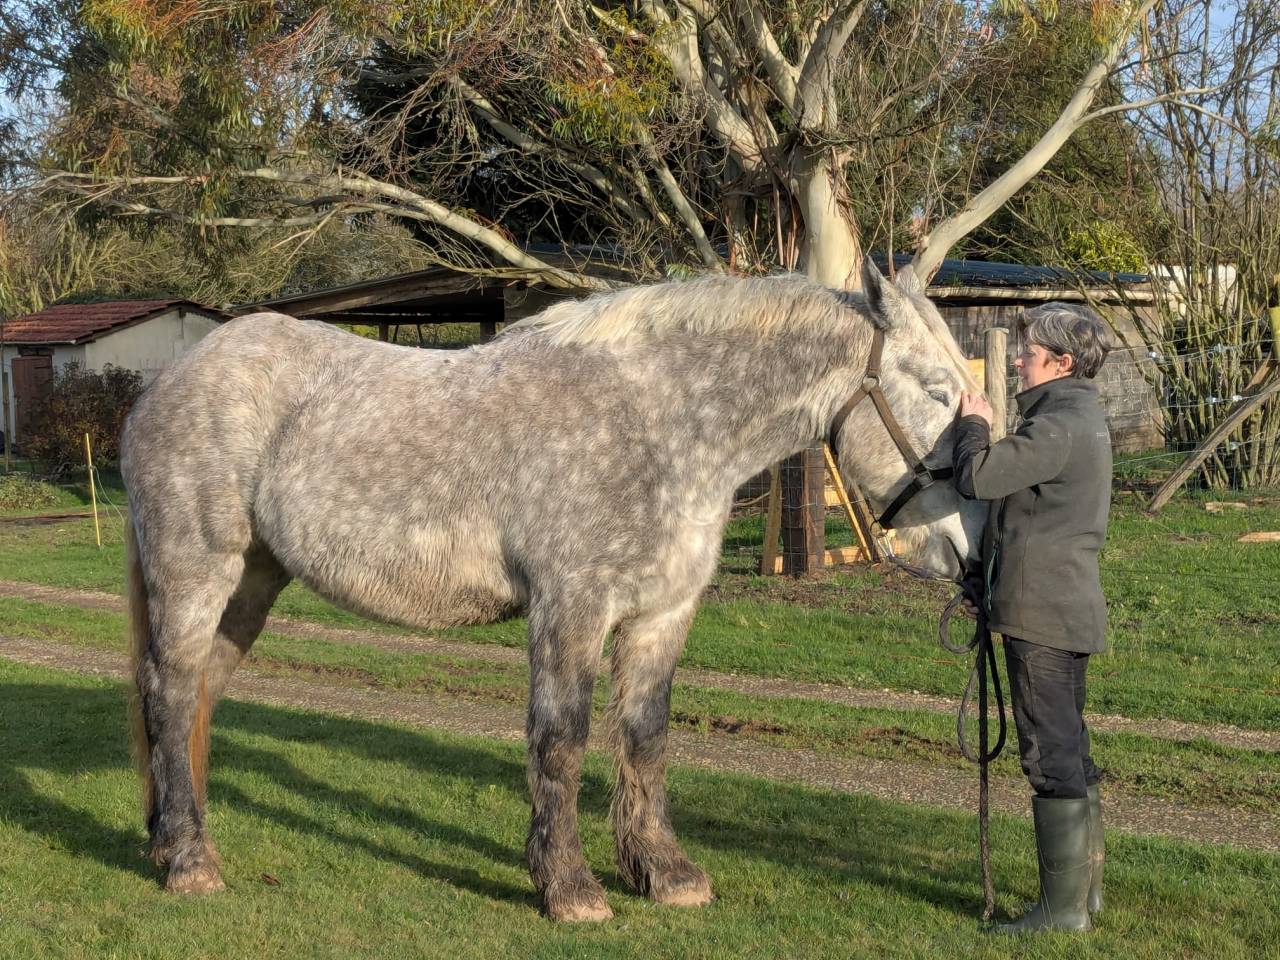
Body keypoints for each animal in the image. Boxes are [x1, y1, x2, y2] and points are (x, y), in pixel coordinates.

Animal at [121, 258, 987, 921]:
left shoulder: (662, 613)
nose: (969, 550)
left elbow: (645, 737)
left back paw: (174, 838)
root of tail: (164, 383)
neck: (662, 421)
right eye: (936, 390)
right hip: (197, 570)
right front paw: (569, 887)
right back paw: (189, 860)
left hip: (254, 580)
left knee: (197, 695)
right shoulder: (571, 607)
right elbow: (560, 742)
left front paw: (664, 873)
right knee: (169, 691)